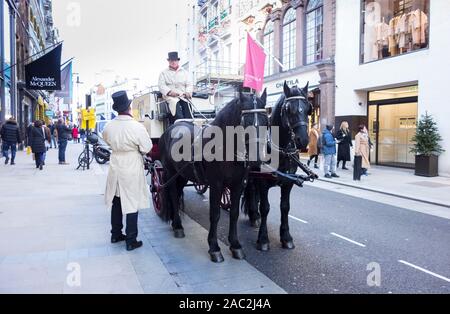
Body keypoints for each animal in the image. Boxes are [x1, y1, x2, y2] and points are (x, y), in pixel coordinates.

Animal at [159, 90, 268, 262]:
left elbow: (234, 214)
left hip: (181, 175)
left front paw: (235, 245)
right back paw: (178, 226)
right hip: (170, 173)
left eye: (266, 121)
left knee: (177, 193)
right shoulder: (216, 185)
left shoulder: (238, 184)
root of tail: (172, 128)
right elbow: (215, 214)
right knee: (173, 195)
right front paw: (214, 247)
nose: (256, 159)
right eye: (245, 122)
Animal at [243, 82, 312, 251]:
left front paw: (286, 237)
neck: (281, 152)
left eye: (308, 108)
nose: (303, 140)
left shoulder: (288, 183)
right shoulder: (262, 182)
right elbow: (265, 207)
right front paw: (263, 239)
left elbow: (285, 207)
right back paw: (254, 216)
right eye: (288, 109)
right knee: (250, 190)